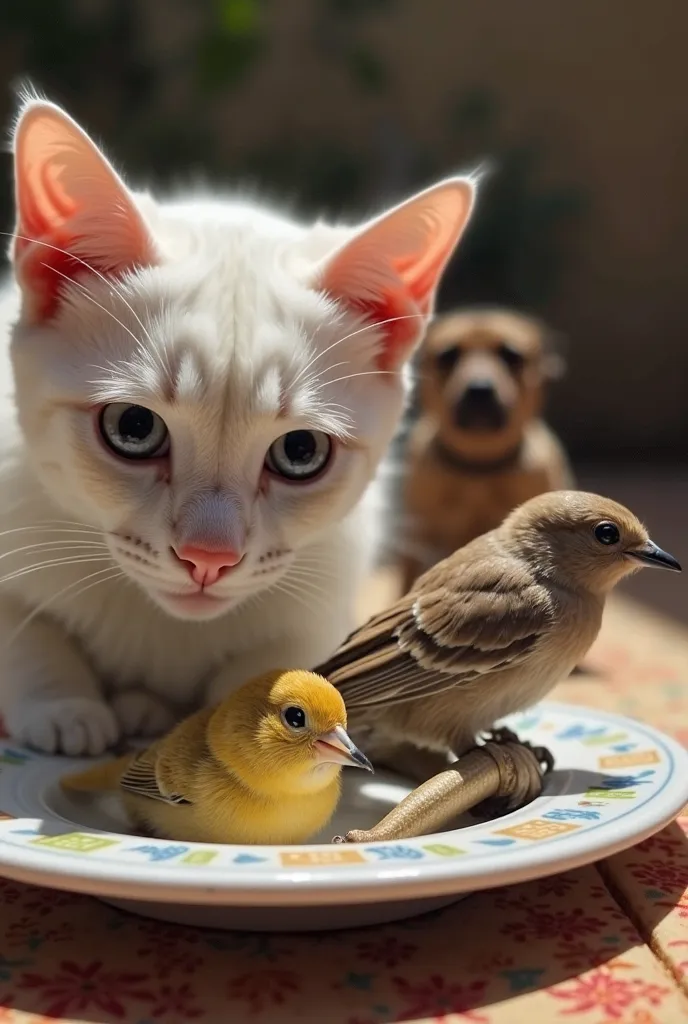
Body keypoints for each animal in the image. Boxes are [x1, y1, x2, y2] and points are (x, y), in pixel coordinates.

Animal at [0, 97, 473, 753]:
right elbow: (26, 626)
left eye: (301, 451)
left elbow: (280, 661)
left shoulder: (326, 593)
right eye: (133, 428)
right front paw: (63, 701)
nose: (208, 559)